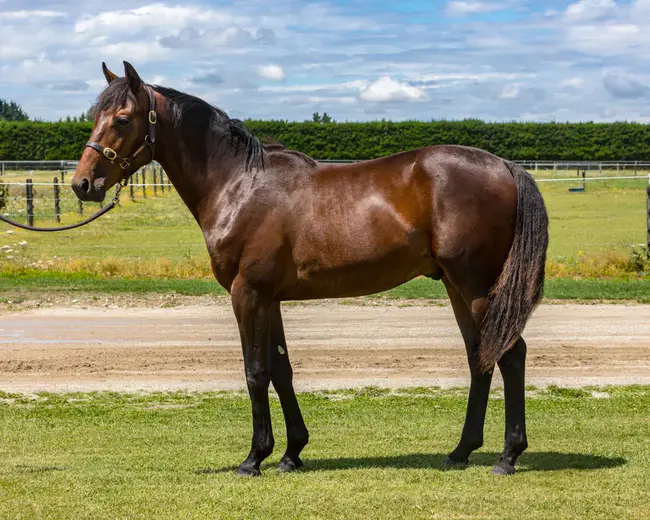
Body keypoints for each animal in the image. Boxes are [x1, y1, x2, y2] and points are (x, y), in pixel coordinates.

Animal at [71, 61, 548, 476]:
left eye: (123, 119)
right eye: (96, 116)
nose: (83, 184)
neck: (238, 185)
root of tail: (505, 166)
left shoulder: (247, 294)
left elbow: (255, 372)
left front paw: (254, 458)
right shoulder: (270, 299)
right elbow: (281, 371)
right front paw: (291, 453)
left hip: (477, 286)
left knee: (510, 354)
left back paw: (508, 456)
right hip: (454, 285)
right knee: (479, 356)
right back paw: (461, 450)